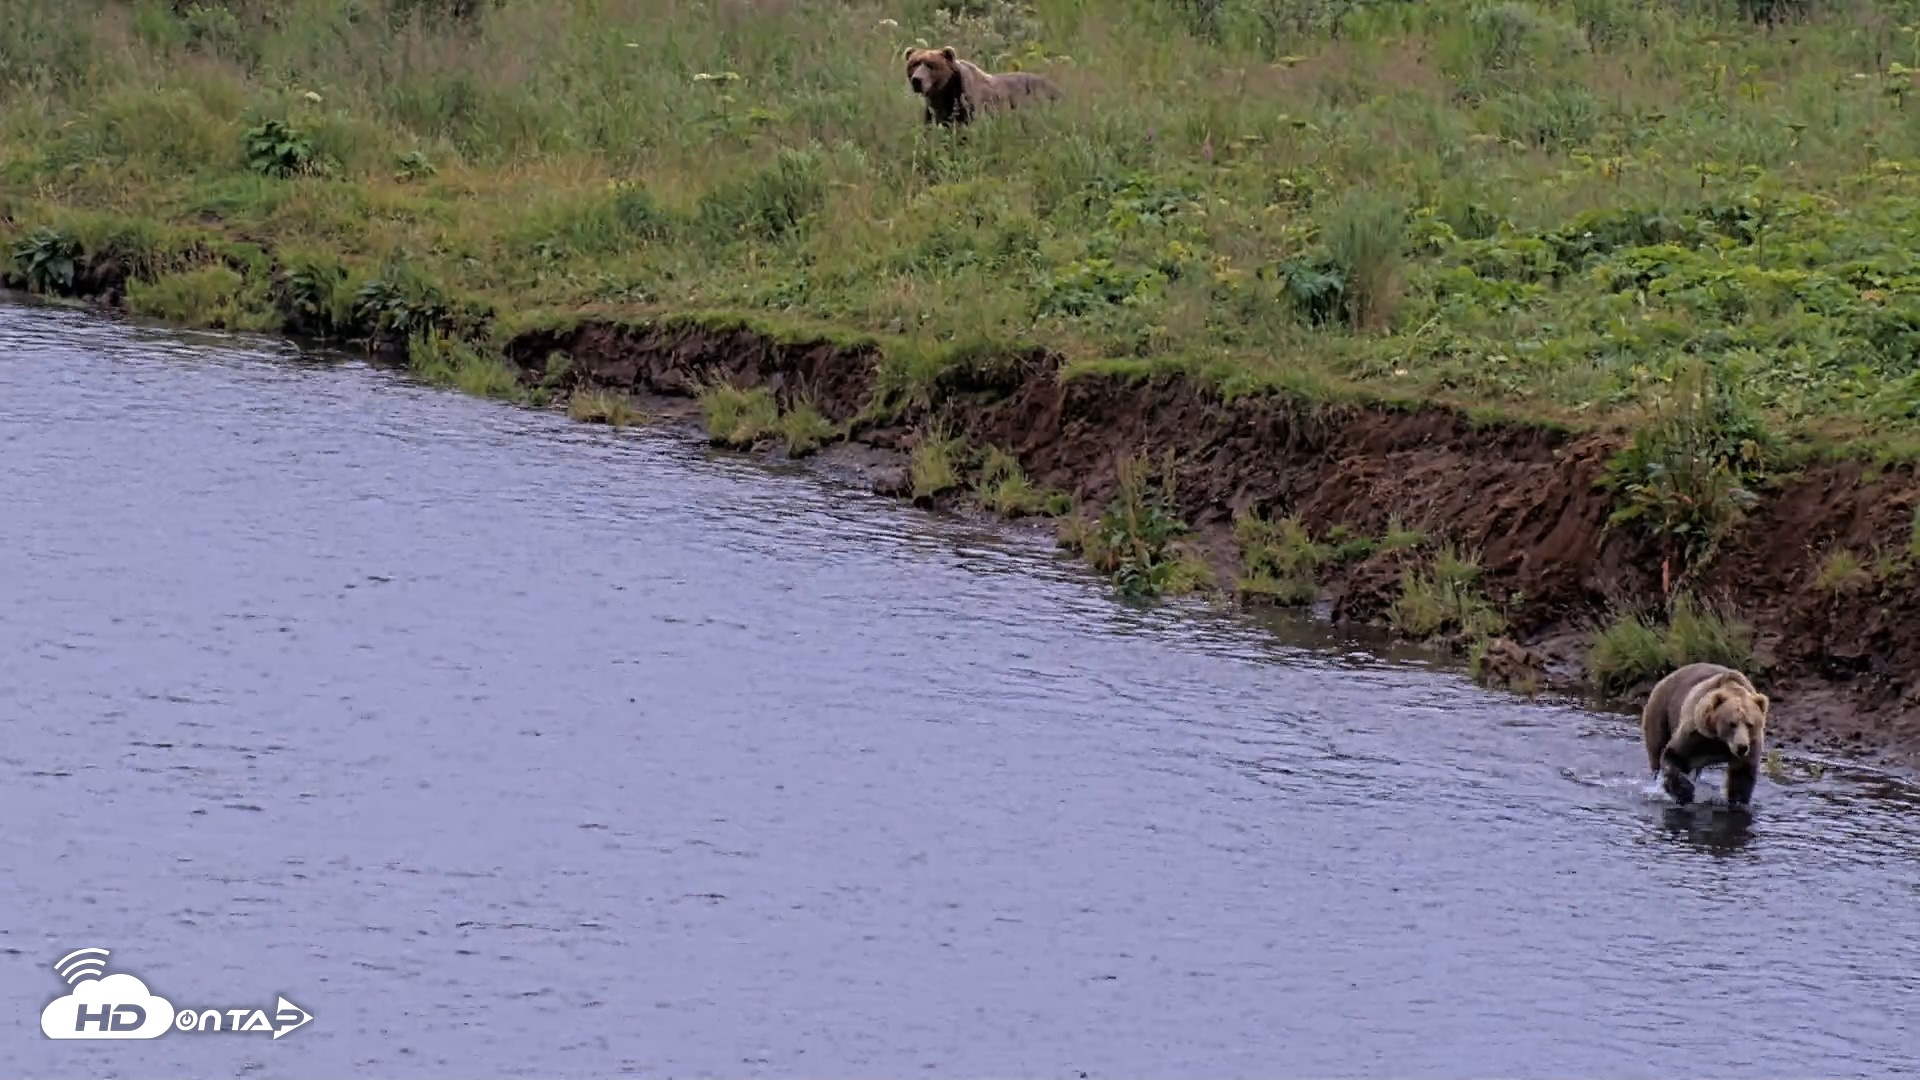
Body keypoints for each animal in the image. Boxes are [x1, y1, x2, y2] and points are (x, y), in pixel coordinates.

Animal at [902, 46, 1061, 127]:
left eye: (931, 65)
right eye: (914, 63)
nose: (917, 80)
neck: (945, 92)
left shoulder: (969, 103)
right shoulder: (935, 110)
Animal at [1639, 661, 1770, 808]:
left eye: (1750, 724)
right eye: (1732, 723)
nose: (1741, 747)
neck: (1721, 741)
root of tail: (1670, 674)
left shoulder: (1751, 745)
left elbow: (1741, 775)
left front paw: (1737, 802)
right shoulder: (1695, 733)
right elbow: (1674, 755)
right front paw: (1685, 792)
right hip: (1662, 707)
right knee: (1656, 746)